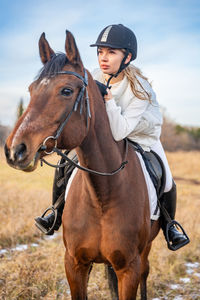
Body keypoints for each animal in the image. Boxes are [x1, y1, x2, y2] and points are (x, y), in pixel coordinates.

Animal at [4, 31, 160, 300]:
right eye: (32, 90)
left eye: (66, 91)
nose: (15, 150)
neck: (103, 195)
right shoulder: (75, 264)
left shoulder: (129, 269)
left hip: (145, 253)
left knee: (145, 275)